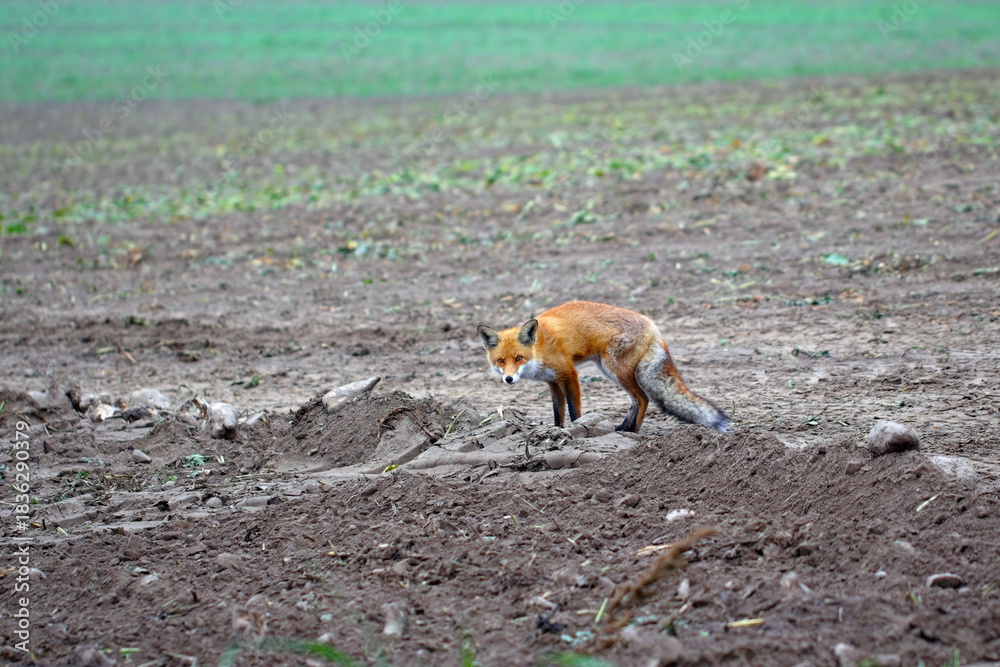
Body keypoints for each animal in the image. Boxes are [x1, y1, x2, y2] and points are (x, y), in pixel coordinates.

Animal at [477, 301, 729, 433]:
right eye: (501, 361)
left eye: (519, 358)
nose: (509, 379)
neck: (539, 348)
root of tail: (652, 324)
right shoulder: (552, 382)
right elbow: (558, 412)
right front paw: (557, 431)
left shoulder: (569, 374)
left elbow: (573, 410)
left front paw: (576, 431)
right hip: (608, 371)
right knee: (635, 400)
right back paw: (623, 428)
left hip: (615, 369)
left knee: (643, 398)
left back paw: (633, 431)